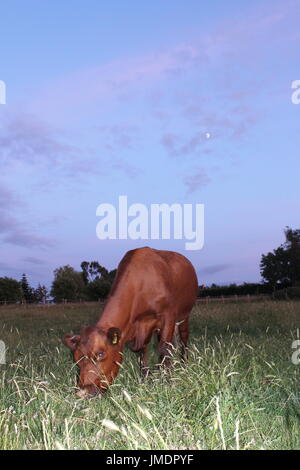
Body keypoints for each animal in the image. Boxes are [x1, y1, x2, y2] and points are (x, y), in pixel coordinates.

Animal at [62, 246, 198, 396]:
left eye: (100, 354)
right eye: (76, 358)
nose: (82, 392)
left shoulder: (168, 315)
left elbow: (164, 348)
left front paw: (168, 381)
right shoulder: (140, 328)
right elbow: (142, 352)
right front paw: (145, 379)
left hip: (184, 314)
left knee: (183, 338)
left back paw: (184, 364)